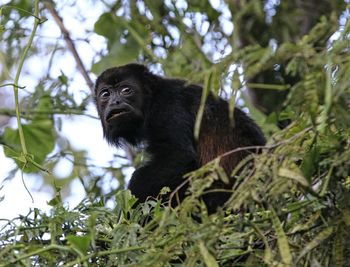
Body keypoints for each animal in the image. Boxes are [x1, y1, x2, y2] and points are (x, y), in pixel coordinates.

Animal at [93, 63, 266, 213]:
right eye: (105, 94)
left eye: (126, 90)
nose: (115, 102)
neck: (151, 99)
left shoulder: (168, 106)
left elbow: (178, 156)